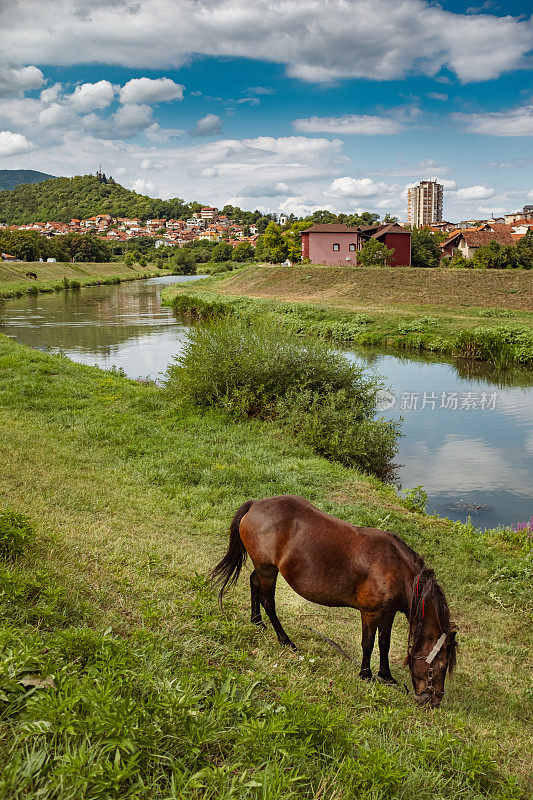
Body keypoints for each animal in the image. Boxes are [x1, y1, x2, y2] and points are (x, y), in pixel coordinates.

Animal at [214, 494, 456, 708]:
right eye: (440, 665)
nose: (433, 701)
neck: (396, 570)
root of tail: (255, 504)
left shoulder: (388, 613)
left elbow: (384, 644)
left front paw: (386, 676)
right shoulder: (370, 613)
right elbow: (368, 643)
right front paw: (366, 674)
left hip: (264, 569)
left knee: (254, 583)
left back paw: (256, 621)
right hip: (268, 570)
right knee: (269, 603)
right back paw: (285, 640)